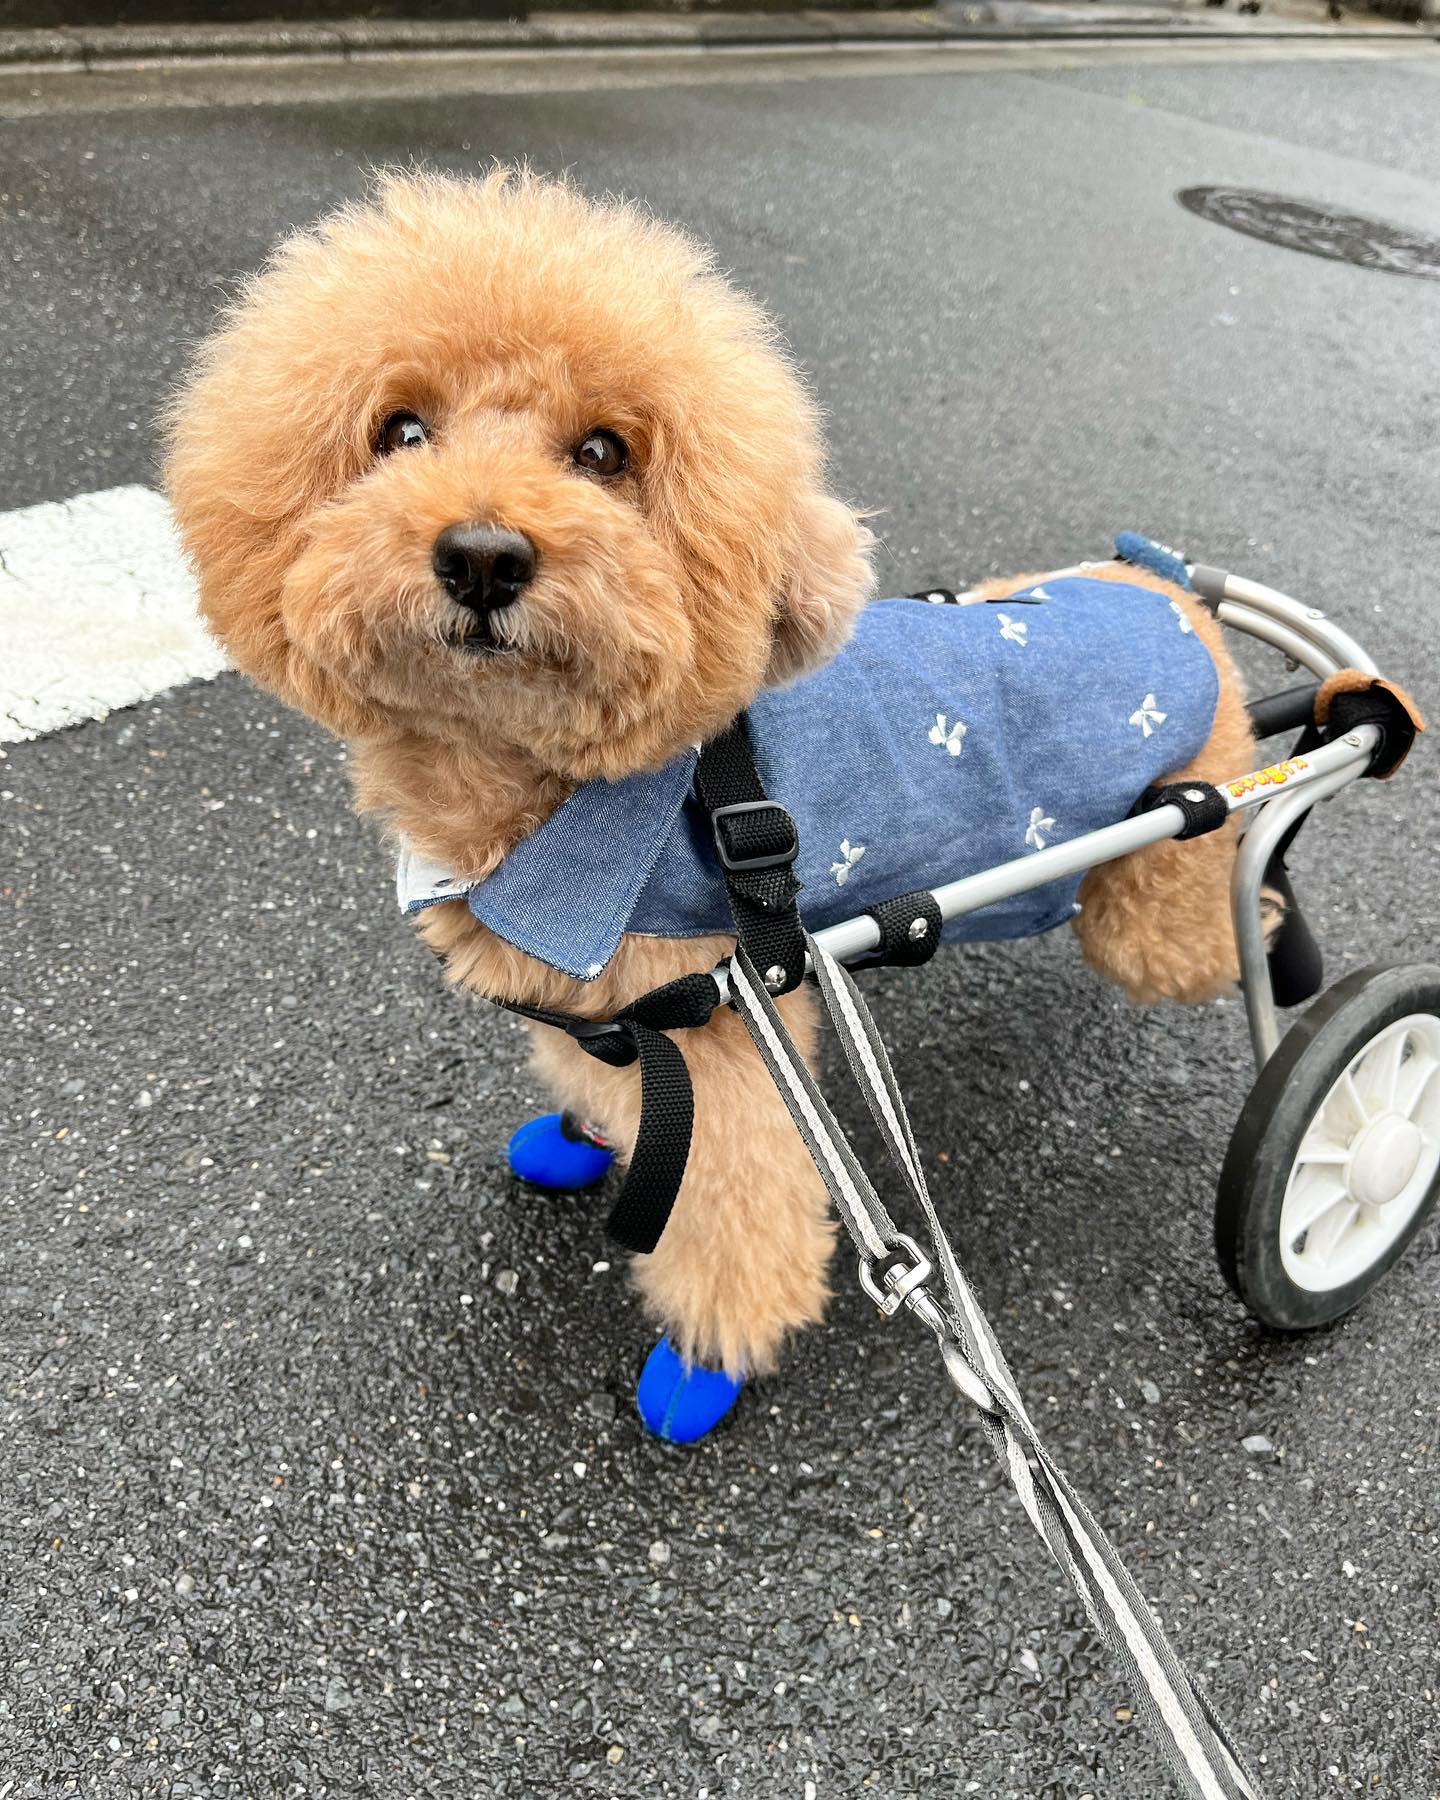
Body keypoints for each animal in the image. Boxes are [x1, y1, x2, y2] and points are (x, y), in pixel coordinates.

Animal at [165, 168, 1257, 1436]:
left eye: (603, 451)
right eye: (399, 431)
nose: (482, 555)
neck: (543, 795)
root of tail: (1167, 593)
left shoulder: (729, 1026)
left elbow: (733, 1205)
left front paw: (710, 1353)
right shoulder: (619, 1009)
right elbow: (620, 1097)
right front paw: (591, 1138)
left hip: (1173, 868)